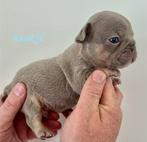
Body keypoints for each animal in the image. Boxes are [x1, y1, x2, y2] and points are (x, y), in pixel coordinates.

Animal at [0, 11, 137, 140]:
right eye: (114, 40)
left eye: (133, 36)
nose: (133, 44)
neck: (84, 51)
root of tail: (11, 84)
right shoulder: (79, 75)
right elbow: (94, 70)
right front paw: (109, 71)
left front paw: (115, 78)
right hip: (30, 99)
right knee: (32, 117)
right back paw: (43, 131)